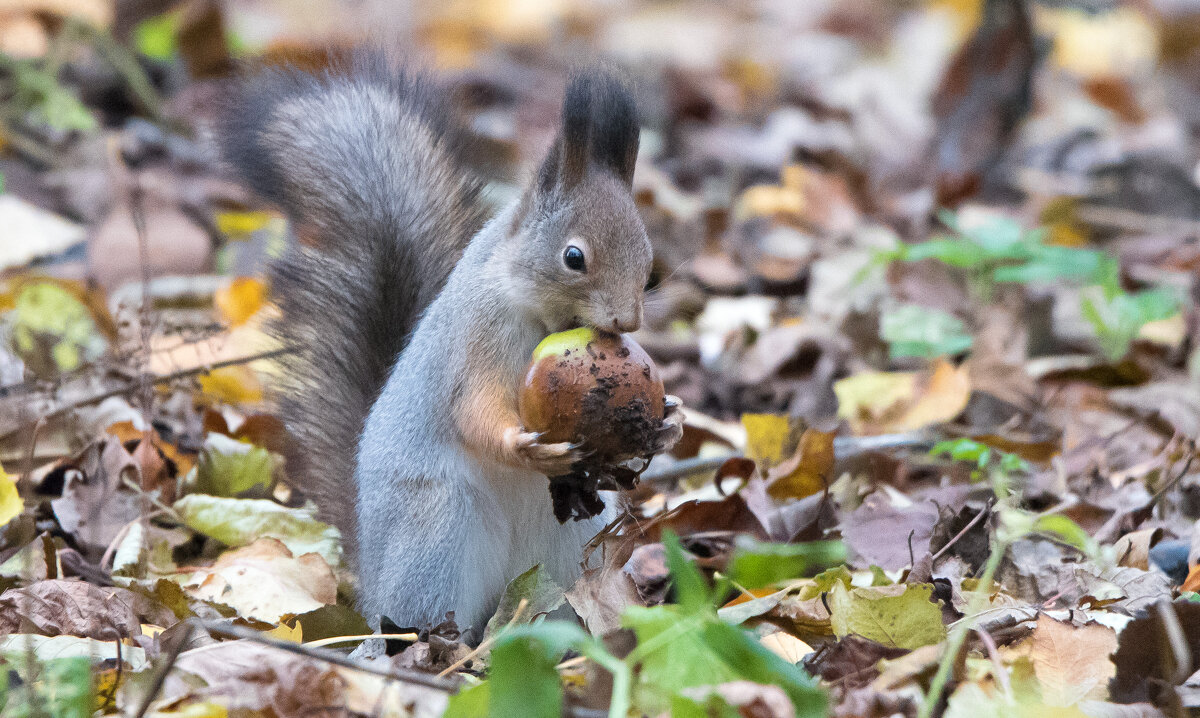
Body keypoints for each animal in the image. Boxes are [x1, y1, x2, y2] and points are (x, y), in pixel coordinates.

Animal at [219, 54, 681, 629]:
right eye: (573, 257)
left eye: (648, 261)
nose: (627, 321)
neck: (537, 311)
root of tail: (370, 578)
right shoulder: (480, 334)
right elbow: (473, 409)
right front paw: (523, 446)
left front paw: (670, 421)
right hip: (437, 531)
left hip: (571, 541)